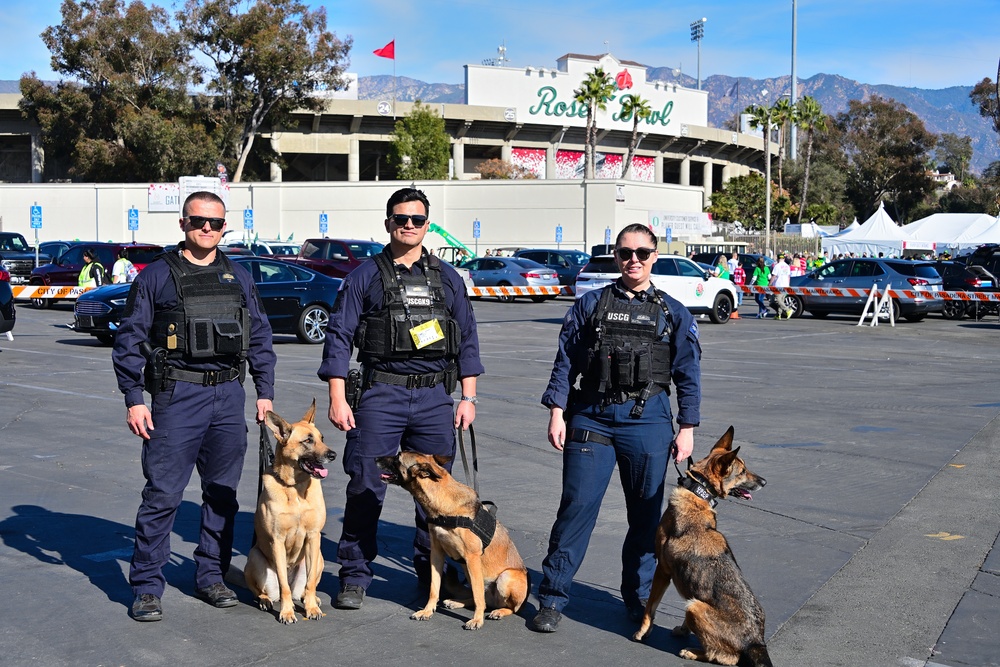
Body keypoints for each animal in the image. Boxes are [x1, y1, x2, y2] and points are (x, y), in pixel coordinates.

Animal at [245, 402, 336, 628]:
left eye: (322, 438)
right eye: (308, 440)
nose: (333, 455)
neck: (295, 488)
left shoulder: (313, 537)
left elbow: (311, 583)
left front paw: (311, 608)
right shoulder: (277, 541)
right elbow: (283, 584)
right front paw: (286, 613)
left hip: (319, 558)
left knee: (304, 588)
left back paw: (310, 599)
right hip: (255, 557)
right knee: (264, 590)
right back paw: (265, 600)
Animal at [376, 448, 532, 632]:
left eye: (397, 458)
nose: (375, 458)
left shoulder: (472, 558)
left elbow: (478, 596)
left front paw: (477, 619)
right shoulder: (436, 554)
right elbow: (434, 587)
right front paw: (427, 610)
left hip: (505, 577)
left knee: (508, 607)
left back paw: (499, 611)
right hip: (469, 571)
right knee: (482, 598)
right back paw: (457, 602)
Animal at [632, 428, 772, 667]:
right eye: (743, 471)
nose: (765, 481)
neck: (698, 492)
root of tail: (756, 641)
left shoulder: (662, 570)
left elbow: (650, 606)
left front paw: (643, 632)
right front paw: (682, 630)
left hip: (694, 607)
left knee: (727, 657)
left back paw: (692, 651)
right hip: (695, 604)